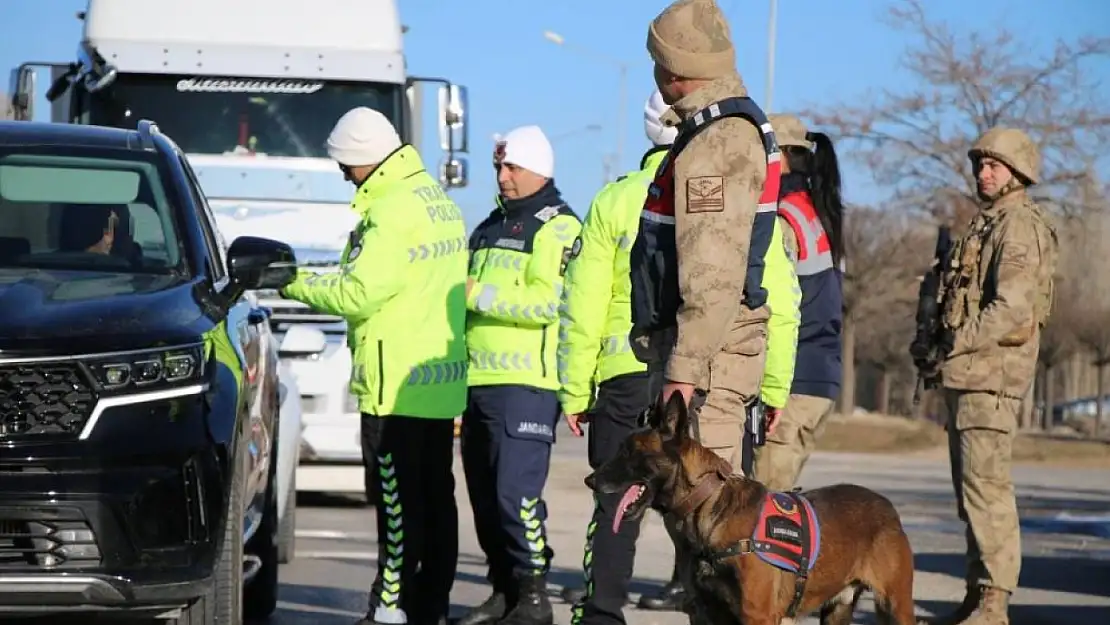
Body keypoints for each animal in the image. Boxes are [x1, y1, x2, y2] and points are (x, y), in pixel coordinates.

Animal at [586, 395, 914, 625]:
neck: (708, 507)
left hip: (895, 606)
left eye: (629, 452)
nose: (590, 480)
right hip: (837, 611)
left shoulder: (758, 616)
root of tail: (888, 507)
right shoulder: (708, 614)